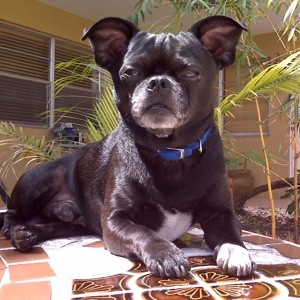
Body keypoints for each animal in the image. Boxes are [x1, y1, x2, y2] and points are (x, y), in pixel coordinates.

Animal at [2, 15, 255, 278]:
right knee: (11, 214)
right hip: (38, 181)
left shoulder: (221, 213)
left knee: (54, 226)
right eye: (130, 72)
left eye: (190, 71)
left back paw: (29, 234)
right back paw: (16, 230)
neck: (169, 152)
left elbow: (230, 234)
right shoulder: (116, 220)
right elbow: (143, 233)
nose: (158, 82)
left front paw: (236, 251)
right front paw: (166, 254)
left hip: (73, 224)